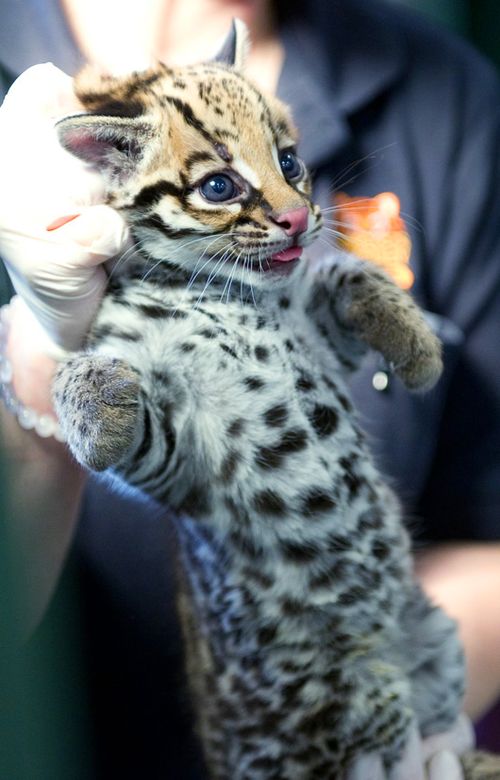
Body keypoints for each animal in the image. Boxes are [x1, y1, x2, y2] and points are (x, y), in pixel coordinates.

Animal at [53, 18, 500, 780]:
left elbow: (346, 278)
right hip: (352, 717)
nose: (298, 219)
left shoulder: (318, 331)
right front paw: (99, 407)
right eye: (219, 185)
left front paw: (417, 345)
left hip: (436, 644)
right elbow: (86, 380)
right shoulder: (181, 456)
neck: (223, 296)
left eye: (290, 161)